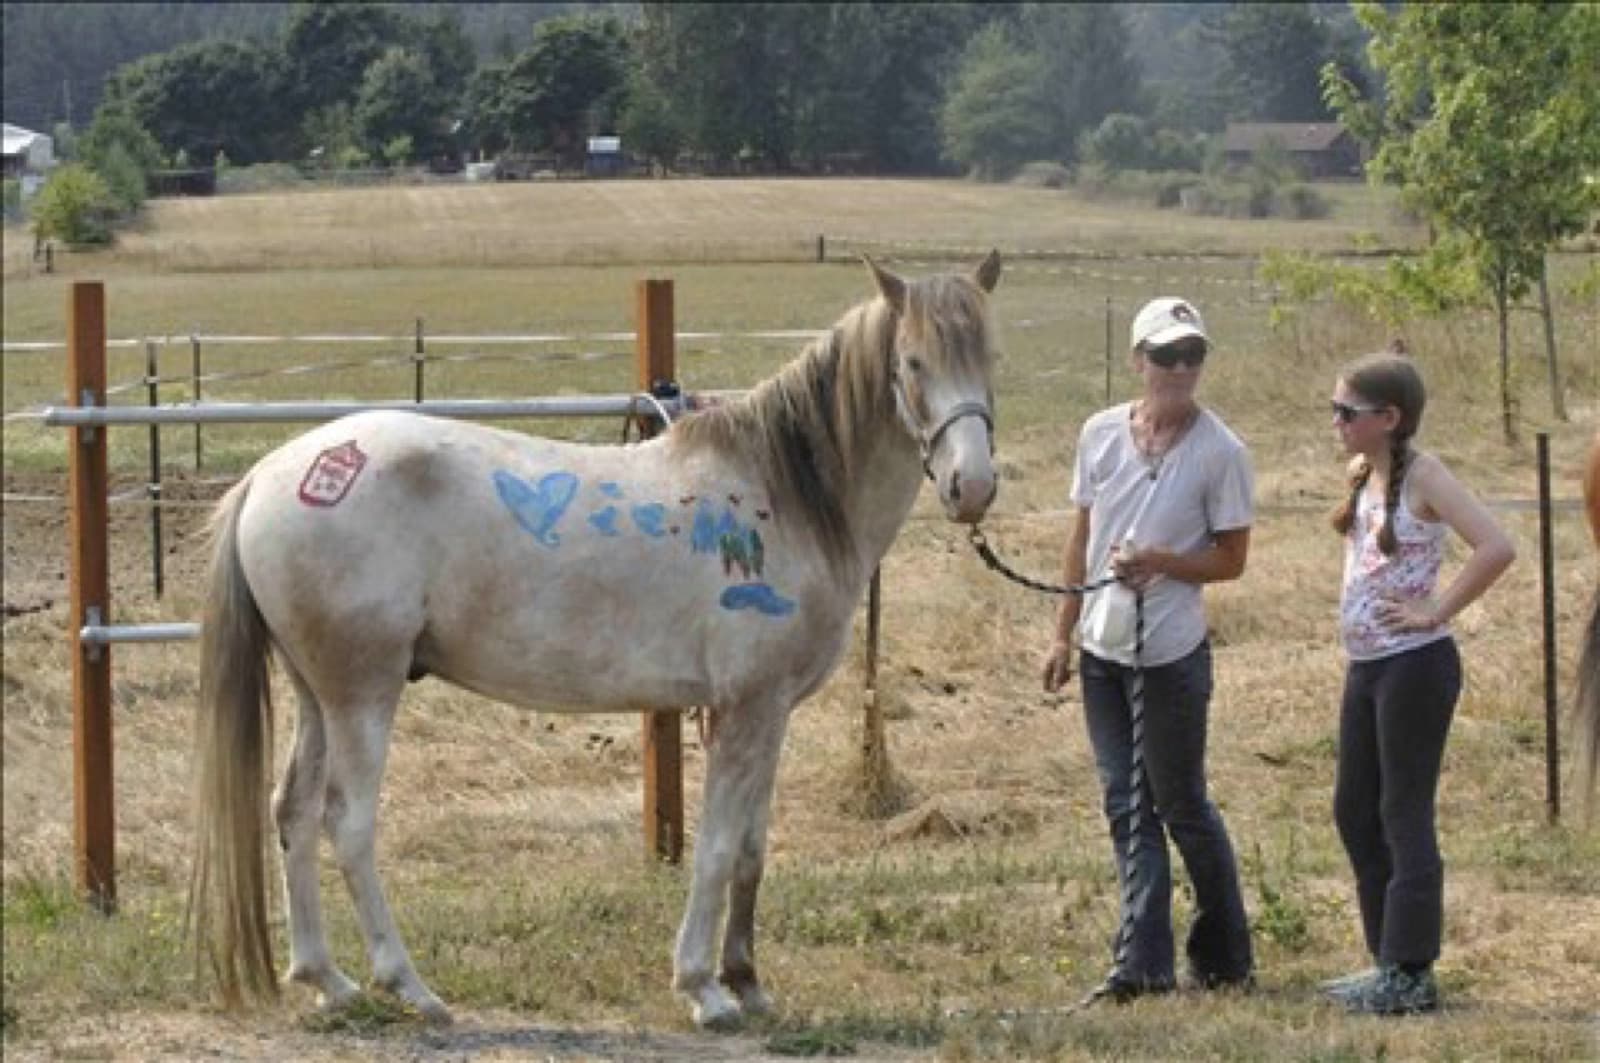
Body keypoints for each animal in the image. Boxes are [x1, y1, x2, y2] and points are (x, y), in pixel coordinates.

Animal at [189, 252, 1003, 1028]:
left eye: (989, 354)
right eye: (912, 362)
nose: (972, 487)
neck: (779, 495)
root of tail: (268, 477)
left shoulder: (770, 714)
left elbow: (750, 847)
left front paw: (747, 980)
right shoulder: (746, 707)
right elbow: (716, 849)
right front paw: (704, 988)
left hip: (317, 694)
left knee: (292, 812)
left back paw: (329, 981)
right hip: (363, 694)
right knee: (347, 823)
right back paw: (410, 986)